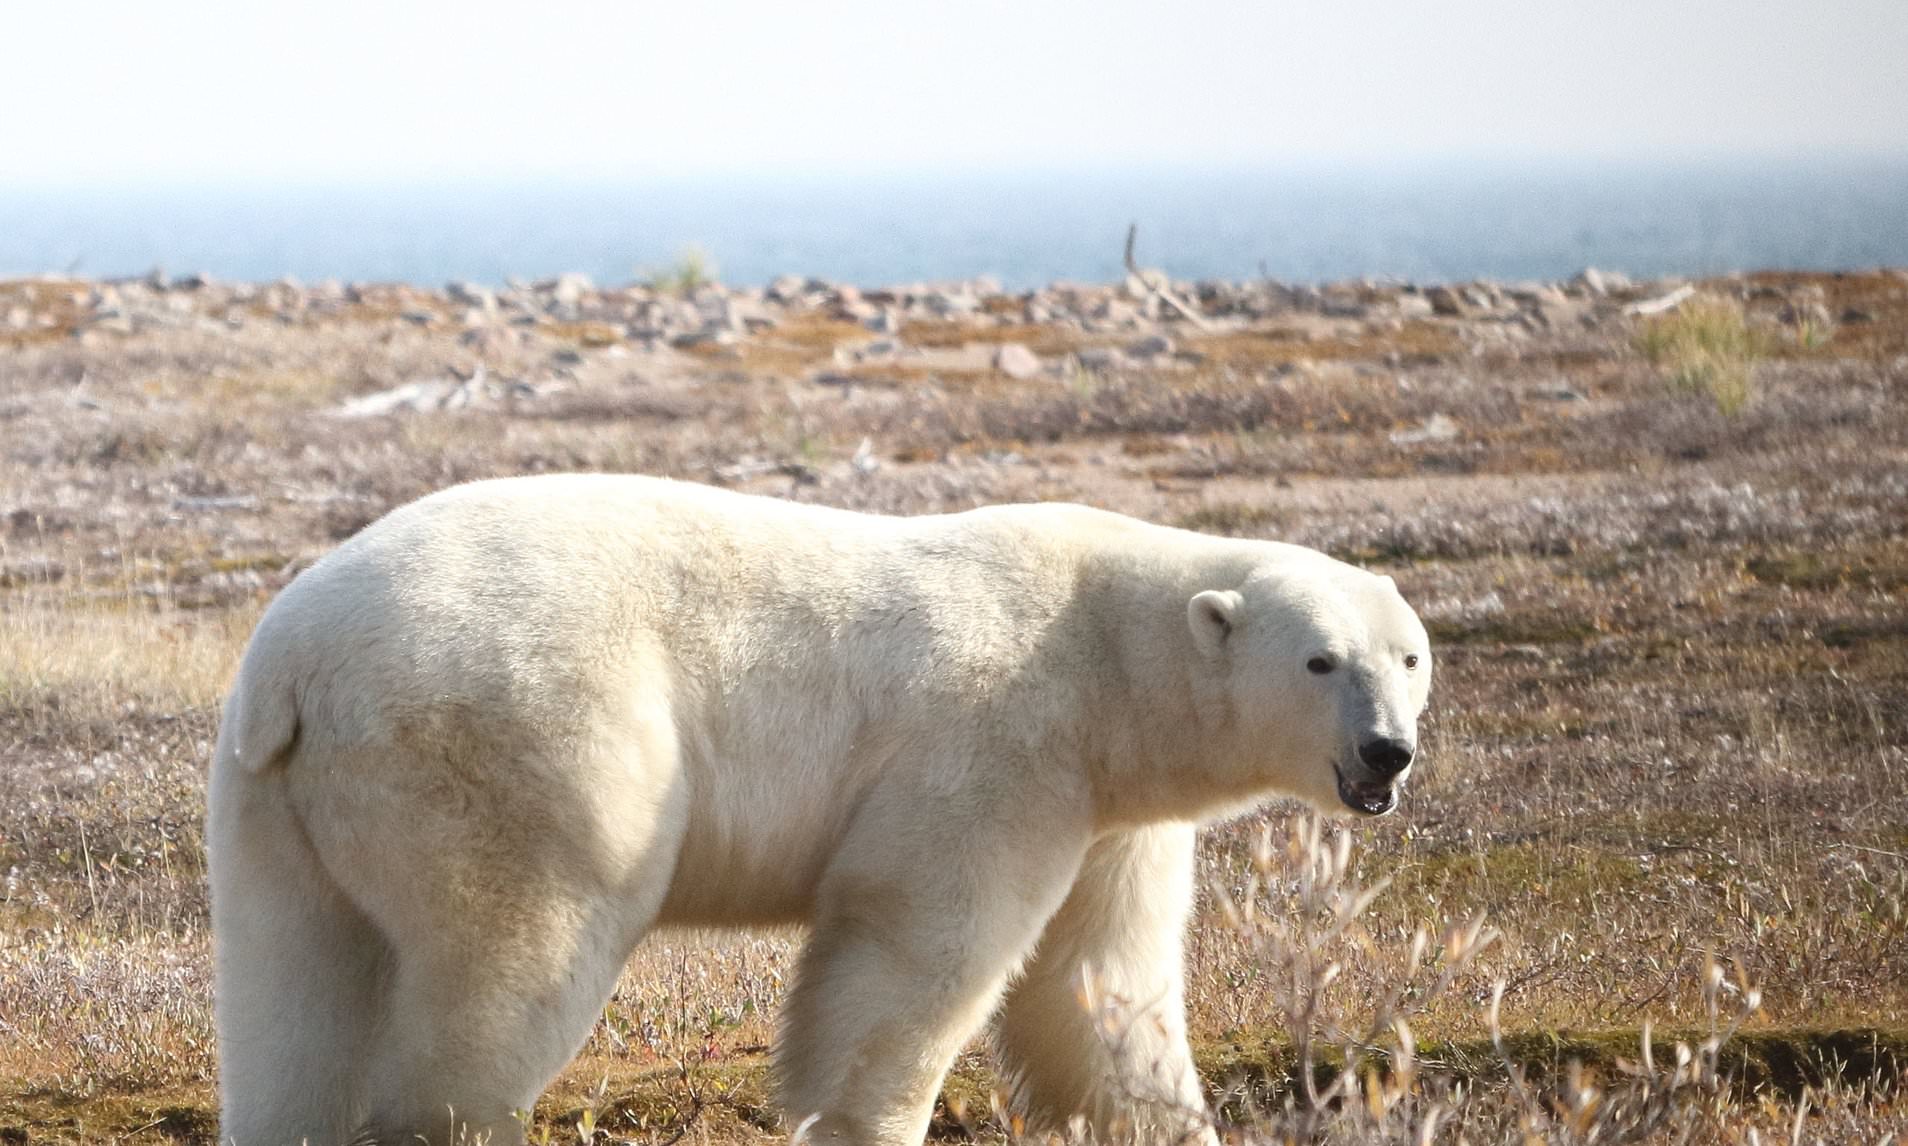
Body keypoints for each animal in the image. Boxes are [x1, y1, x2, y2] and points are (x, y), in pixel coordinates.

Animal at [208, 470, 1434, 1144]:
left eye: (1410, 656)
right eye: (1321, 660)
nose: (1388, 750)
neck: (1103, 655)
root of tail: (296, 665)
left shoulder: (1114, 808)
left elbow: (1102, 984)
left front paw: (1160, 1118)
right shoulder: (995, 746)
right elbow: (917, 947)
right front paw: (865, 1121)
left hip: (277, 805)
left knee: (294, 994)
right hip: (517, 743)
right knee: (513, 954)